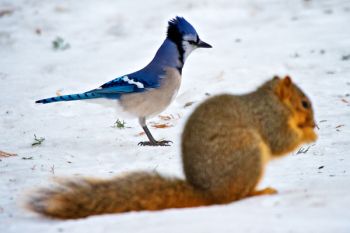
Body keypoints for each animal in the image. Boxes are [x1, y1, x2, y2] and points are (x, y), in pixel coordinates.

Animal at [26, 76, 318, 218]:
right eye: (304, 103)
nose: (314, 122)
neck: (270, 102)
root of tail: (208, 193)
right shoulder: (269, 120)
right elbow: (279, 142)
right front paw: (307, 135)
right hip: (249, 154)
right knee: (236, 196)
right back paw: (258, 192)